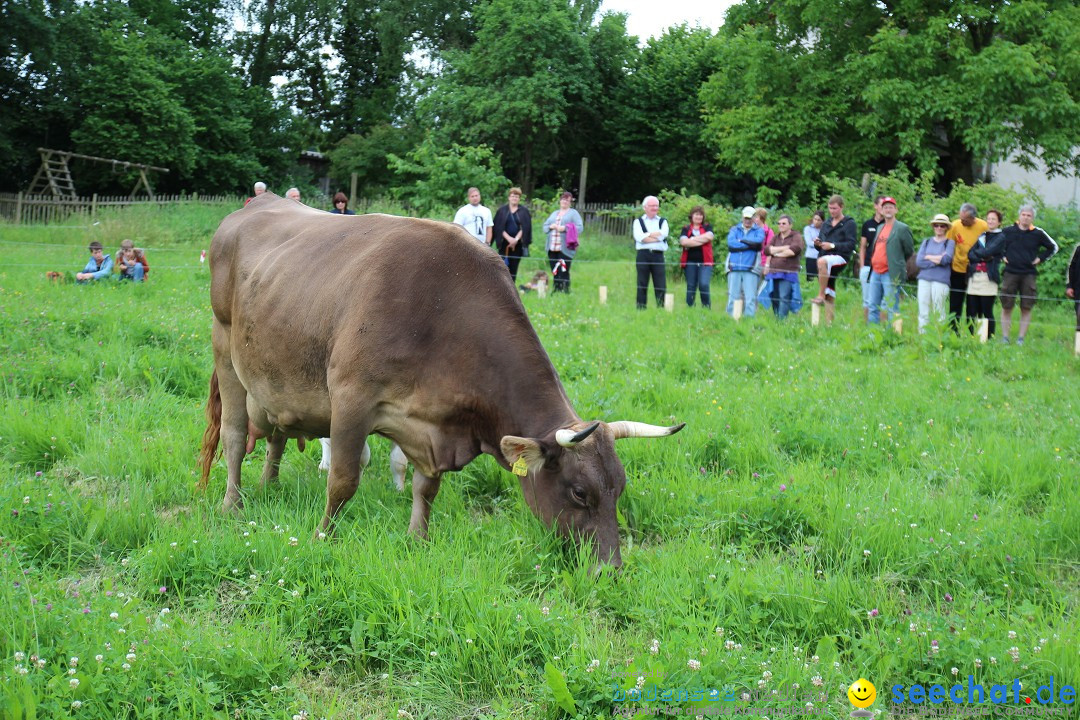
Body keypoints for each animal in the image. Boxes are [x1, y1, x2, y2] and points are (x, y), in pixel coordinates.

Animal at [198, 194, 678, 565]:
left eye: (620, 488)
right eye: (579, 493)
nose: (609, 570)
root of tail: (258, 202)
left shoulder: (432, 426)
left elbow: (426, 488)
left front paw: (418, 539)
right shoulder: (351, 398)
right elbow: (344, 478)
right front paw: (322, 537)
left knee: (276, 435)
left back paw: (269, 485)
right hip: (225, 349)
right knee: (235, 435)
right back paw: (231, 504)